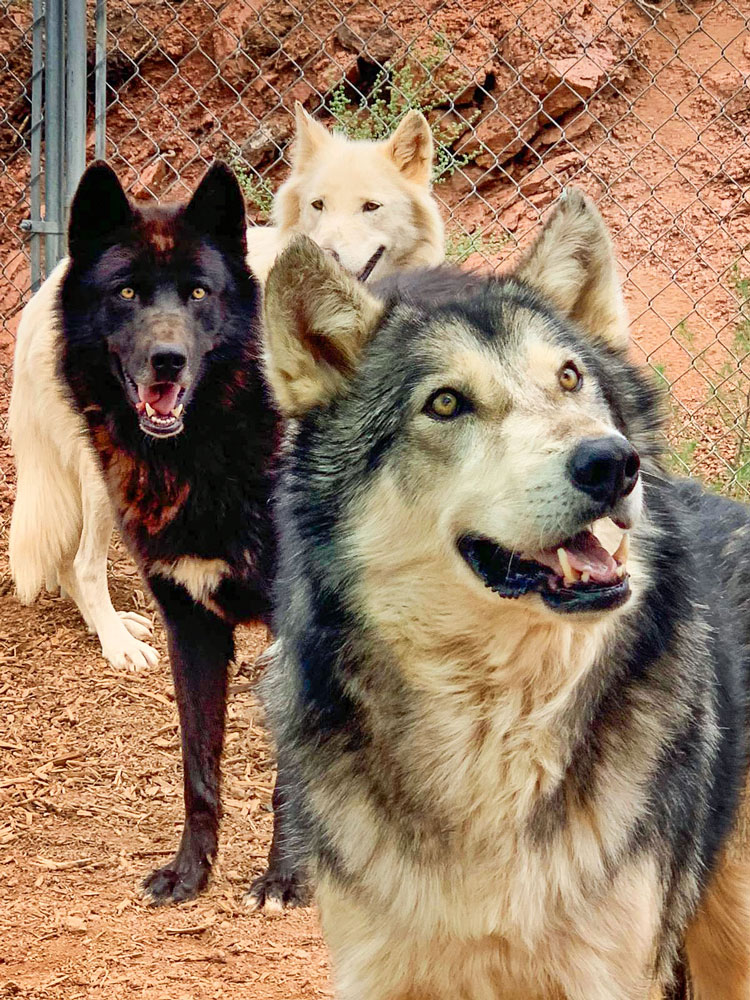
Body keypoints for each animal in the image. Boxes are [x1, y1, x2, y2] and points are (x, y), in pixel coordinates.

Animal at [260, 197, 750, 1000]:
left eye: (570, 378)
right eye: (446, 402)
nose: (611, 462)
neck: (493, 726)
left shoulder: (607, 976)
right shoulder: (374, 972)